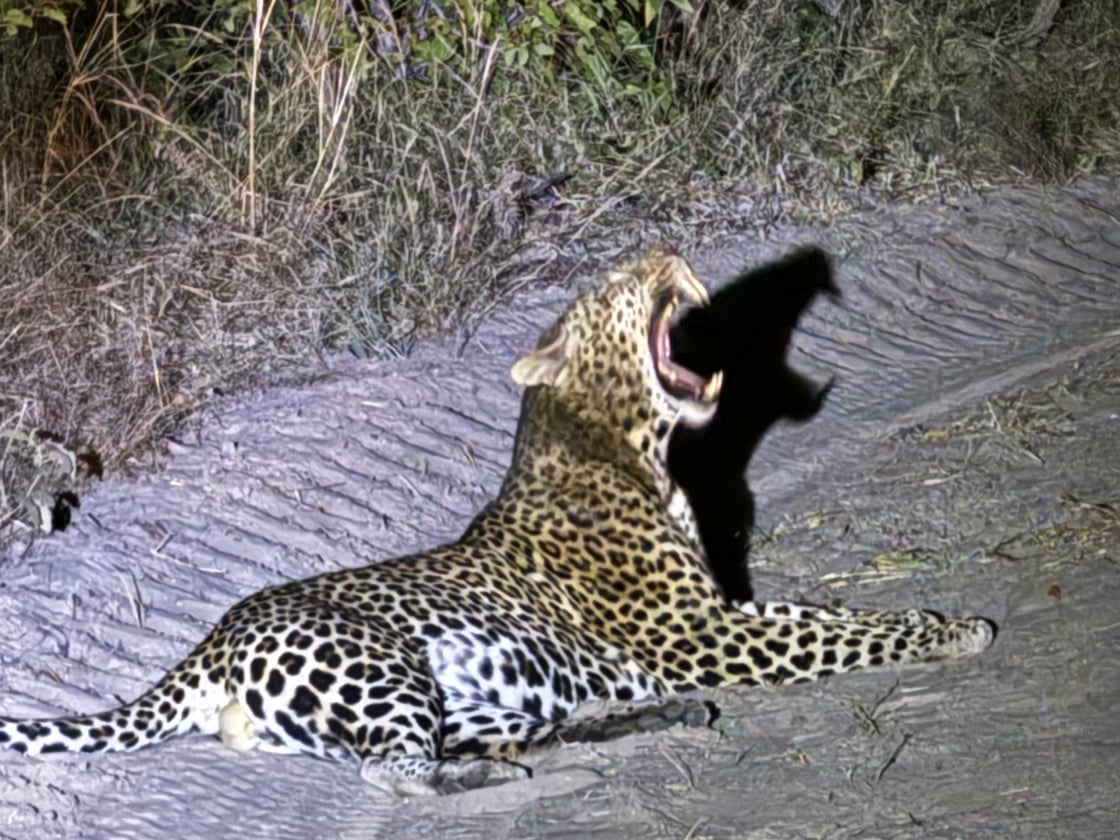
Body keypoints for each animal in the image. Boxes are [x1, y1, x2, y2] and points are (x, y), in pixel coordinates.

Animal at [0, 246, 996, 796]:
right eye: (614, 282)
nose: (662, 250)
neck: (638, 451)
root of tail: (207, 643)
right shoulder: (700, 636)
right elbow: (844, 636)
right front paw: (954, 633)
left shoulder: (722, 614)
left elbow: (825, 617)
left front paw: (938, 615)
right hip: (381, 671)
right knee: (394, 774)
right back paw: (498, 776)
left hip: (454, 694)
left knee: (502, 732)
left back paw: (636, 720)